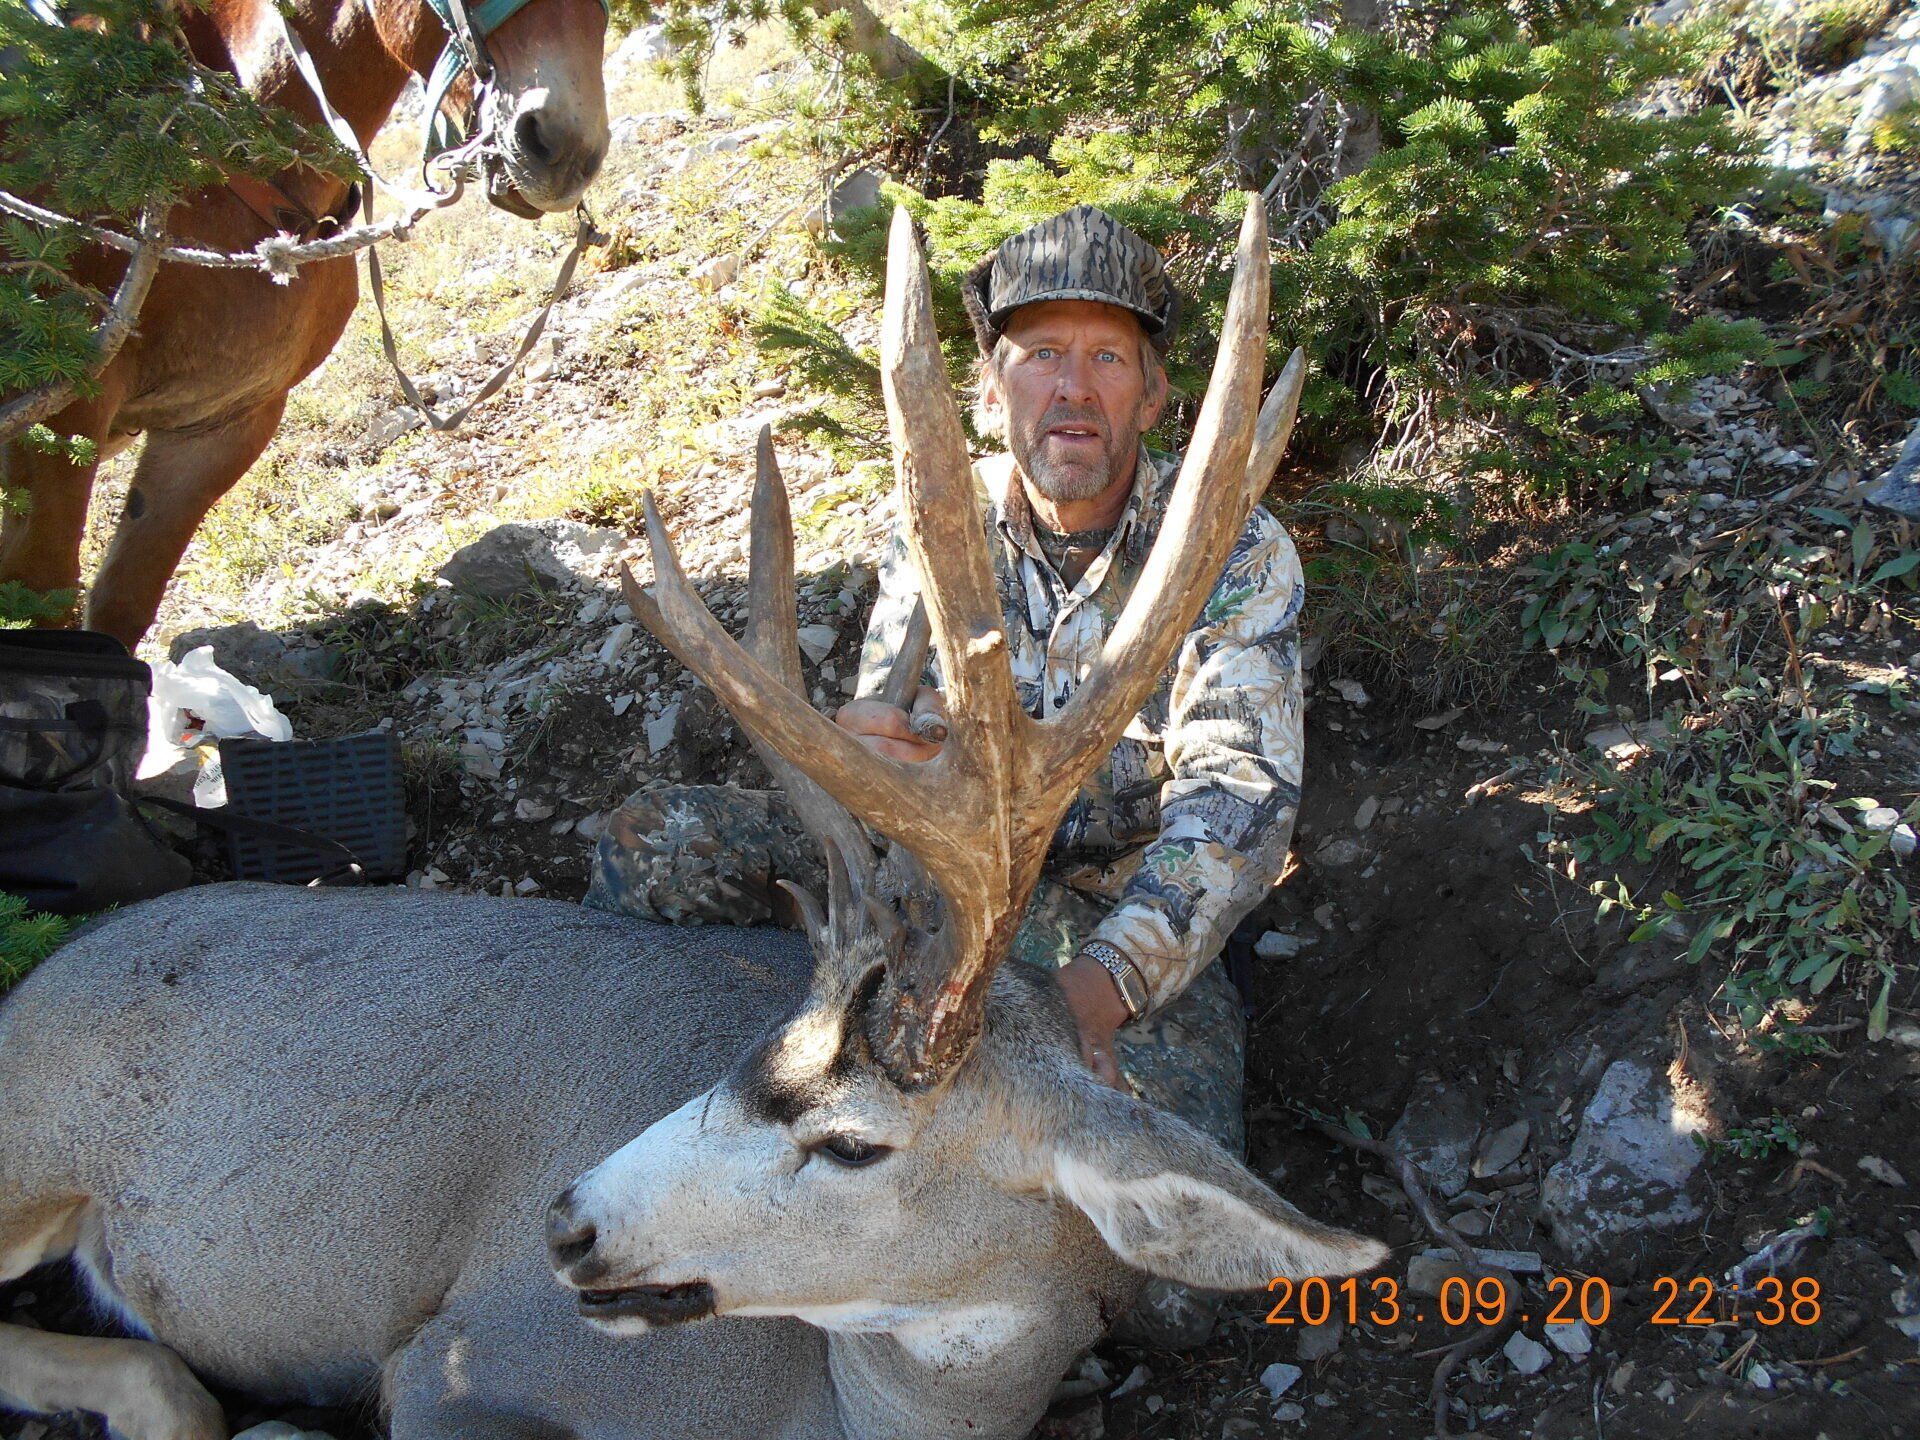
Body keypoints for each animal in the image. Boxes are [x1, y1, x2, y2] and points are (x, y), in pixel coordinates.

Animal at [0, 203, 1387, 1440]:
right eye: (754, 1046)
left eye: (851, 1147)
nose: (566, 1221)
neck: (837, 1411)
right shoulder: (457, 1363)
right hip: (30, 1133)